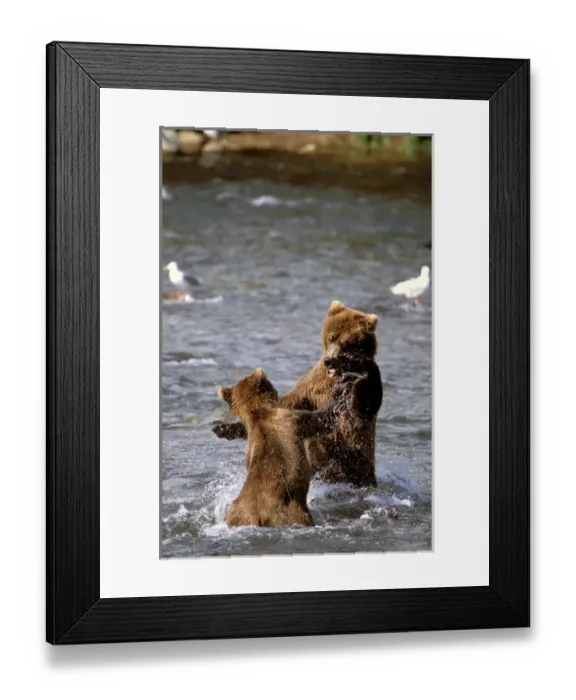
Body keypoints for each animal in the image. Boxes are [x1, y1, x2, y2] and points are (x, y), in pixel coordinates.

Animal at [213, 301, 383, 488]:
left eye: (346, 343)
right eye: (331, 337)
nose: (329, 360)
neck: (335, 376)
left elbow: (363, 407)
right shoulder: (312, 387)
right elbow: (287, 405)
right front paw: (225, 428)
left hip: (359, 466)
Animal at [217, 367, 357, 528]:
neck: (259, 413)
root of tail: (256, 517)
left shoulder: (251, 444)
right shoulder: (292, 418)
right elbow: (321, 418)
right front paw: (342, 388)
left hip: (237, 515)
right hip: (290, 512)